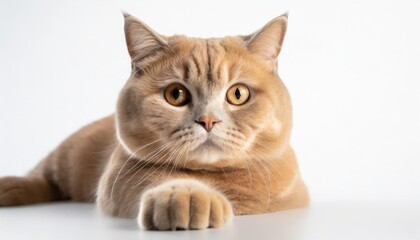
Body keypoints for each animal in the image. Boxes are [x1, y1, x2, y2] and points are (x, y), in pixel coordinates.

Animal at [0, 12, 308, 231]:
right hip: (67, 155)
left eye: (238, 94)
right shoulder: (121, 178)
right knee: (43, 175)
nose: (208, 120)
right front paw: (186, 196)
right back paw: (10, 187)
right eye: (176, 94)